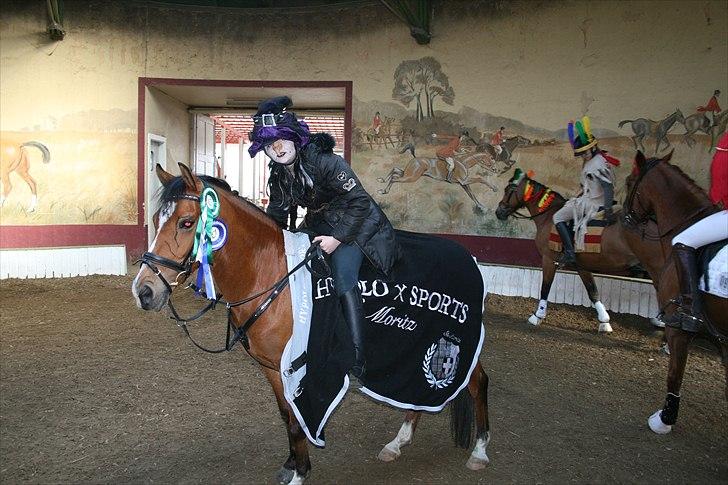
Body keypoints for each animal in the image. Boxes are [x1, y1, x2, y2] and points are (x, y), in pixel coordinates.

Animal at [132, 163, 492, 483]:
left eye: (186, 222)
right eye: (156, 219)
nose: (144, 291)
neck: (270, 274)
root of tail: (468, 257)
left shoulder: (295, 367)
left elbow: (297, 419)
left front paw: (300, 473)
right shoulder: (272, 368)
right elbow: (287, 418)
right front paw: (291, 465)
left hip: (456, 341)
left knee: (478, 382)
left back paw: (479, 451)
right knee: (416, 394)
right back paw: (397, 443)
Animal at [495, 172, 665, 333]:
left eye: (508, 190)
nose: (499, 211)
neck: (548, 215)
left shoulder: (548, 259)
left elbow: (545, 287)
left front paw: (537, 315)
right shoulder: (582, 266)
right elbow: (592, 291)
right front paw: (604, 321)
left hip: (655, 268)